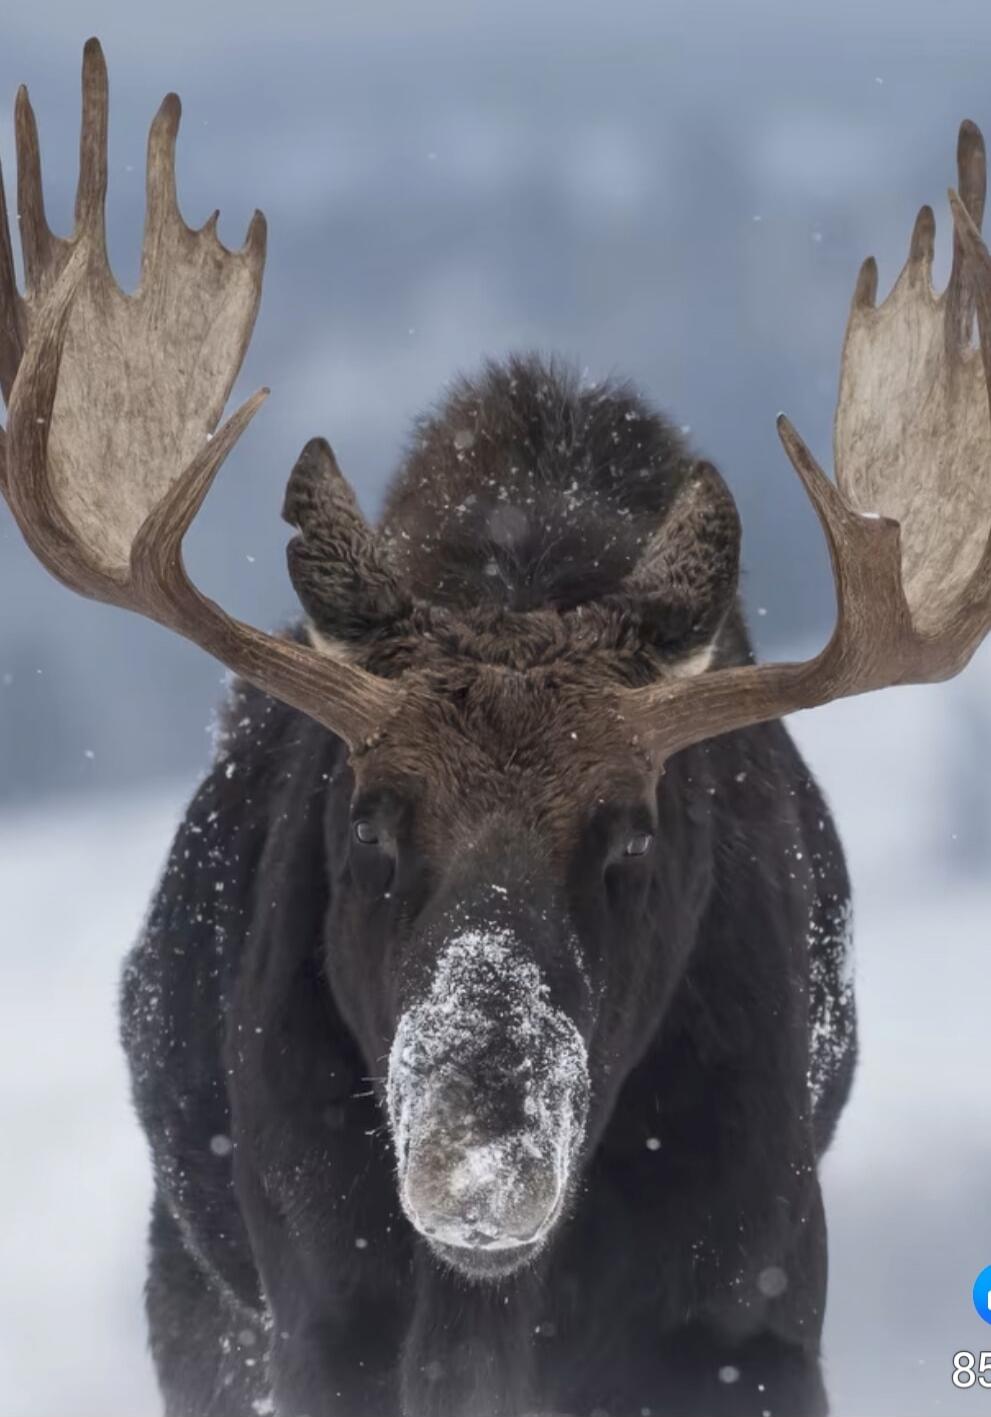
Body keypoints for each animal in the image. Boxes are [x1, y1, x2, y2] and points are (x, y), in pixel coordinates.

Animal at [2, 38, 989, 1417]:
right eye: (369, 824)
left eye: (633, 837)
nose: (478, 1161)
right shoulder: (323, 1324)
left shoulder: (754, 1316)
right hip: (190, 1288)